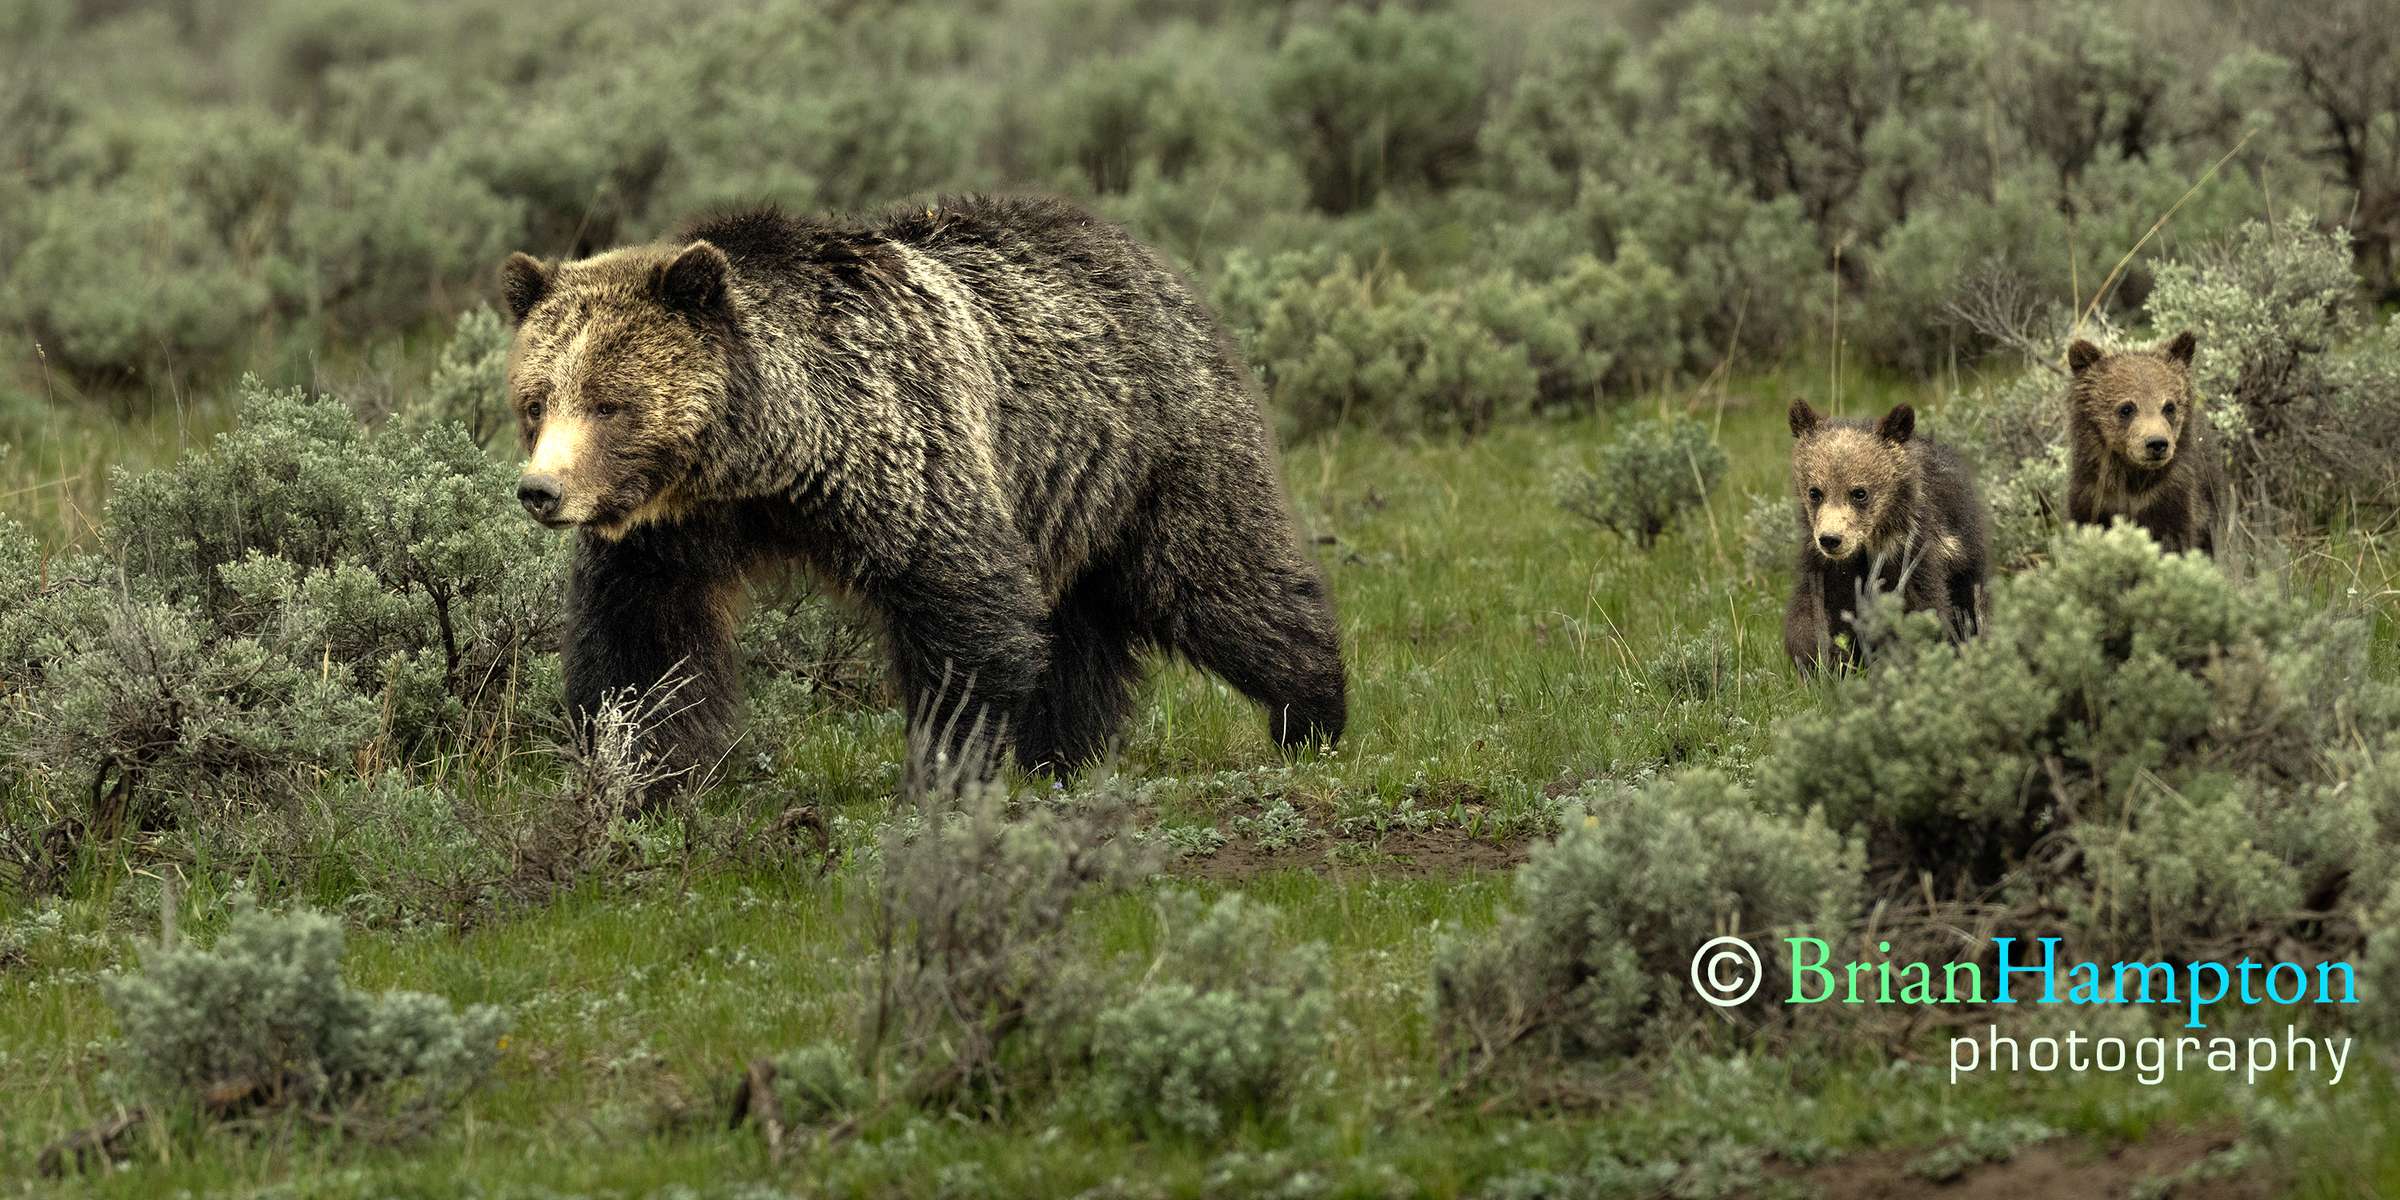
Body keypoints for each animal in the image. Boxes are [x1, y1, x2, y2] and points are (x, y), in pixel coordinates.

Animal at [494, 193, 1344, 782]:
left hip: (1154, 452)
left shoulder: (898, 454)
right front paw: (641, 773)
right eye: (536, 400)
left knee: (1221, 577)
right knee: (1077, 630)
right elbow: (640, 645)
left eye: (609, 401)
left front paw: (945, 766)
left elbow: (963, 608)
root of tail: (1147, 254)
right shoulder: (670, 532)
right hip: (1059, 494)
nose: (541, 491)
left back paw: (1313, 714)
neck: (763, 460)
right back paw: (1064, 757)